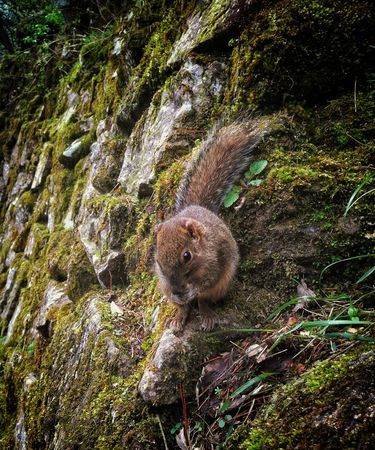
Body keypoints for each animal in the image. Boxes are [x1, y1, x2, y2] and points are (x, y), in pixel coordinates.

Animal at [155, 119, 270, 330]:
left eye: (187, 256)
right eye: (157, 261)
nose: (177, 290)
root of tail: (198, 206)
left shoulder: (215, 263)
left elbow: (204, 286)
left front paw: (192, 292)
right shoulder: (167, 284)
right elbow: (183, 302)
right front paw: (181, 301)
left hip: (221, 285)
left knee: (204, 301)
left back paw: (207, 317)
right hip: (165, 290)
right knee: (184, 308)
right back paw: (177, 319)